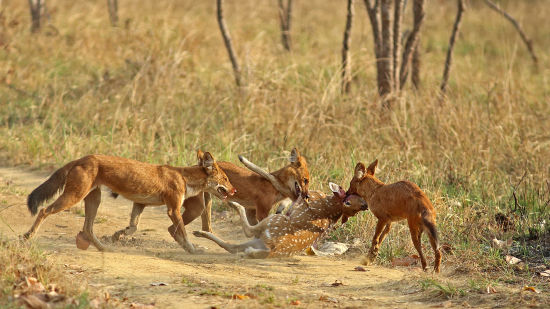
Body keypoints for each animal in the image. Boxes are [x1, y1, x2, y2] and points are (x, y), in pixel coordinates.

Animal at [24, 152, 235, 253]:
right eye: (226, 179)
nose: (234, 190)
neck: (184, 177)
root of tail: (82, 158)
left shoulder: (140, 203)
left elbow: (133, 227)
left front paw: (118, 235)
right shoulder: (172, 210)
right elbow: (182, 232)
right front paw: (192, 249)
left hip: (94, 199)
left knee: (87, 228)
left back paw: (104, 248)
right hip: (73, 197)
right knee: (43, 210)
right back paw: (28, 236)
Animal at [114, 147, 310, 238]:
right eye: (306, 180)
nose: (307, 195)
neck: (273, 185)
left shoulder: (251, 211)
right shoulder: (260, 211)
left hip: (204, 205)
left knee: (205, 227)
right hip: (198, 206)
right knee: (176, 227)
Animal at [192, 183, 368, 258]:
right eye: (353, 200)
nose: (365, 205)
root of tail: (273, 249)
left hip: (272, 222)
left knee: (247, 231)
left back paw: (232, 204)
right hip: (260, 238)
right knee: (230, 246)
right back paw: (199, 233)